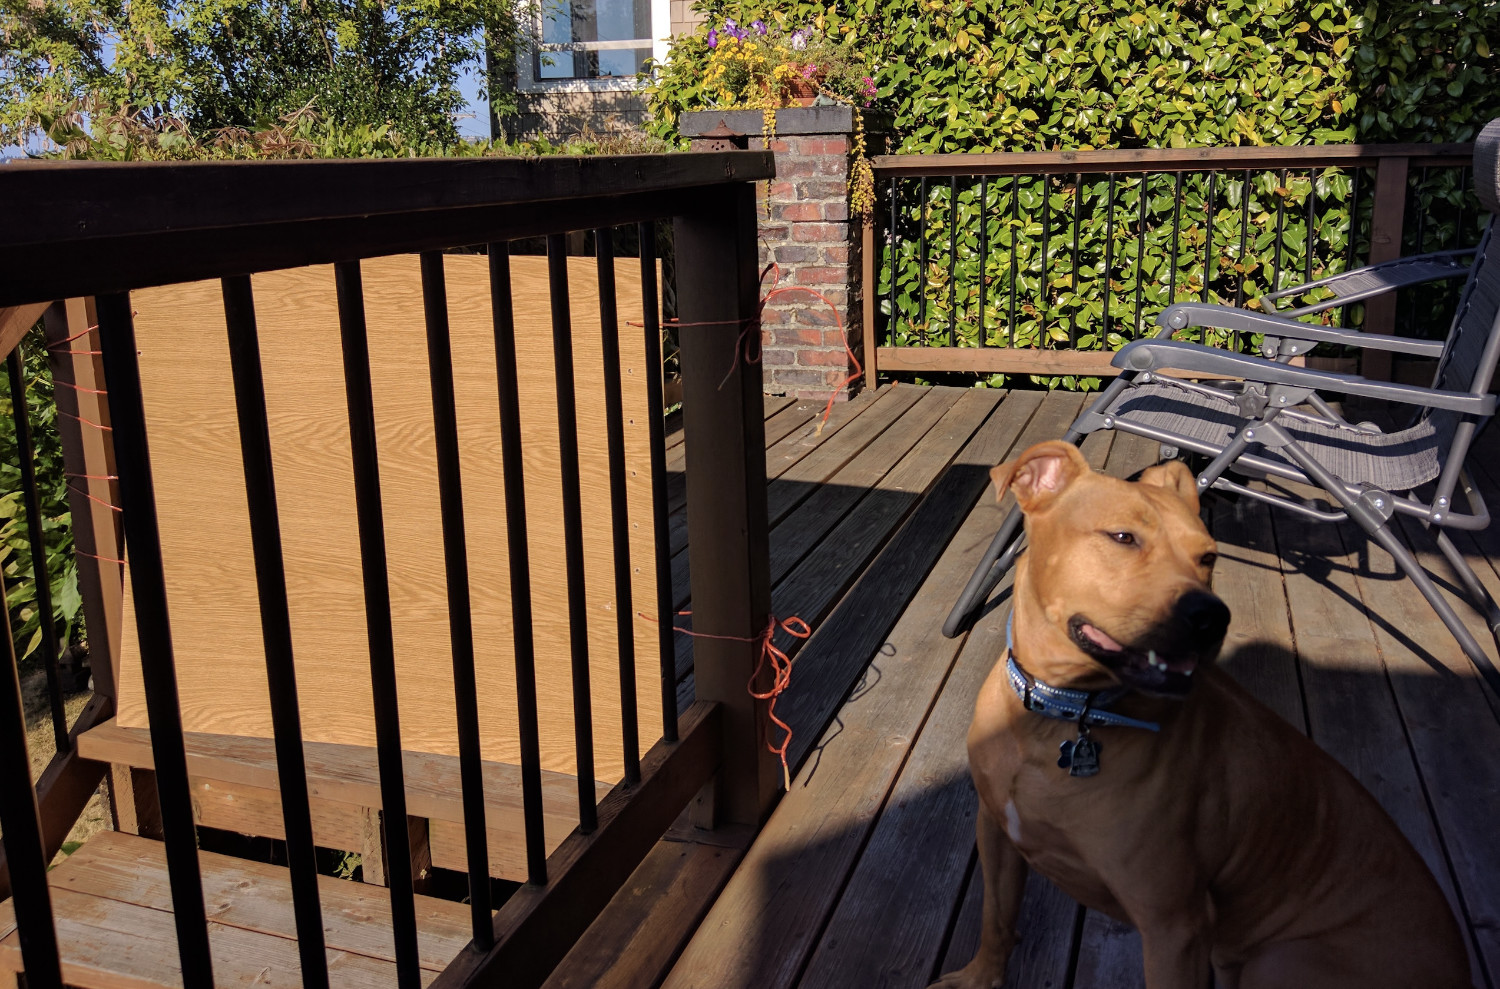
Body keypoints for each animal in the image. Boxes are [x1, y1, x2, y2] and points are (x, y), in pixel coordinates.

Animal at [930, 441, 1470, 989]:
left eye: (1208, 557)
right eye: (1123, 537)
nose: (1213, 615)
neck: (1058, 710)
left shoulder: (1174, 925)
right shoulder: (996, 832)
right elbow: (997, 917)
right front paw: (979, 977)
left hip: (1279, 962)